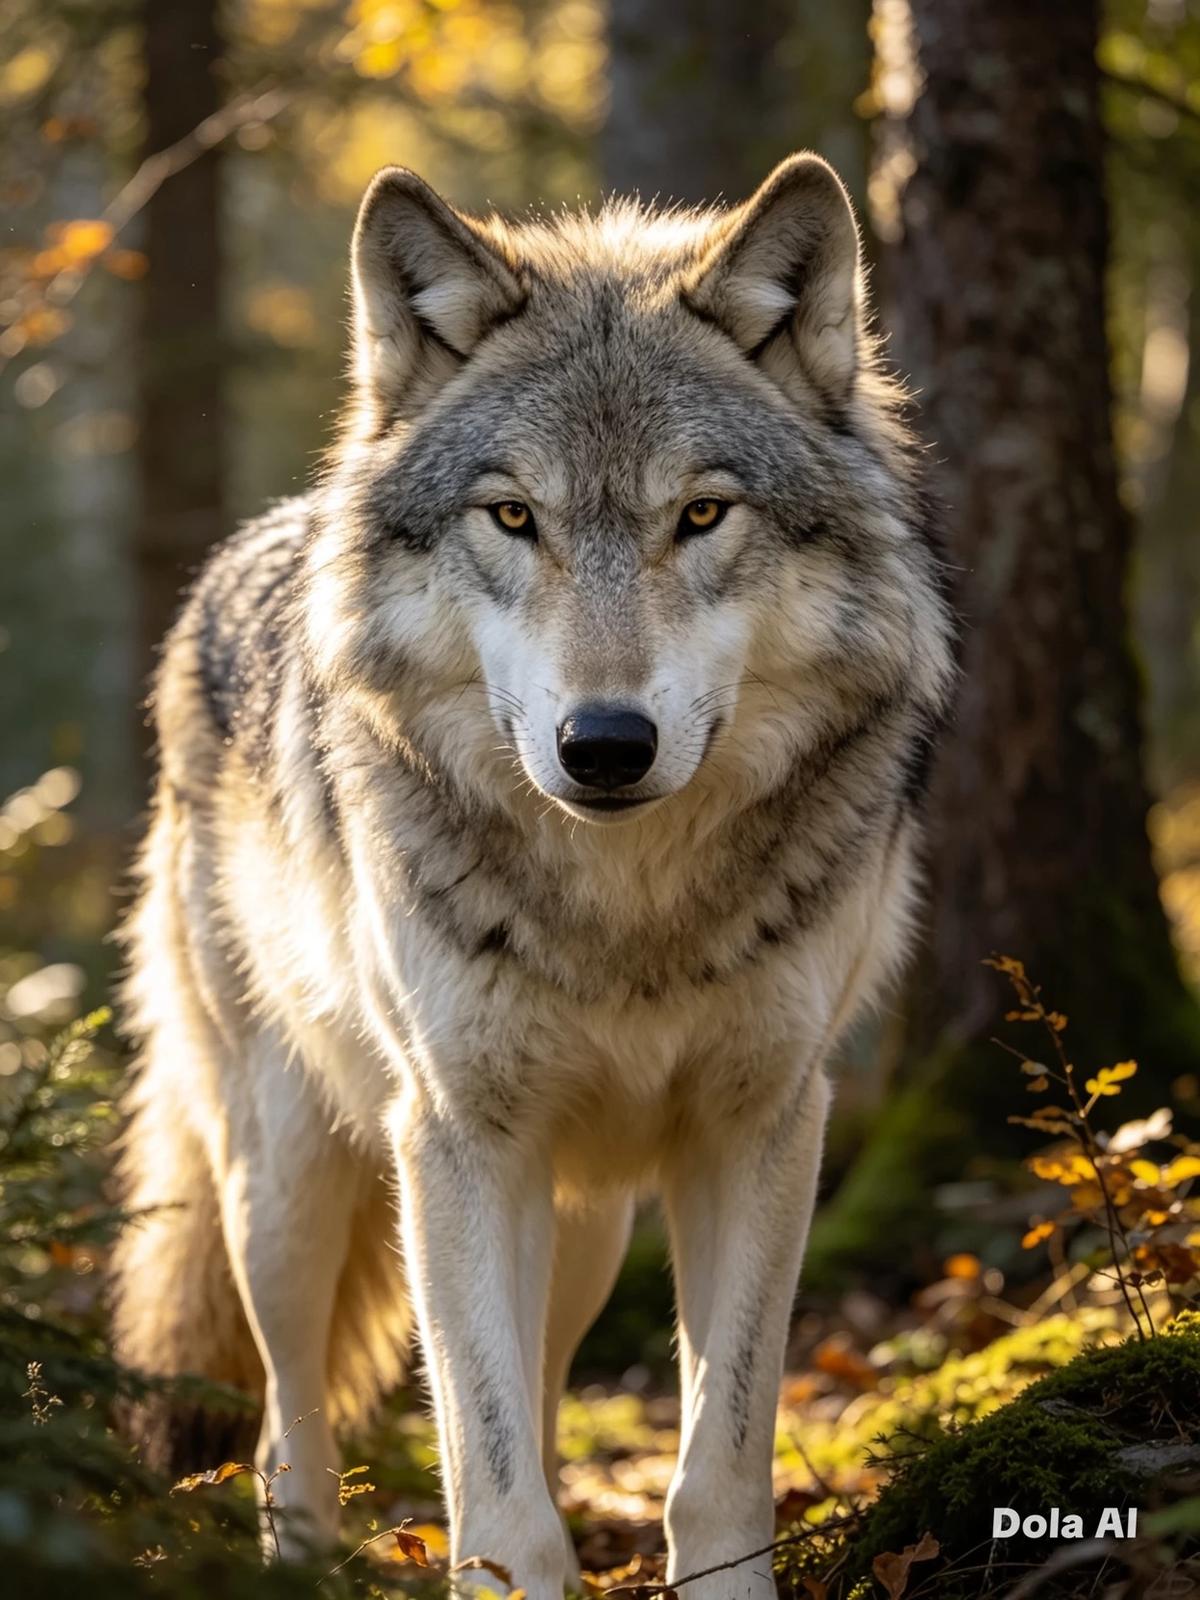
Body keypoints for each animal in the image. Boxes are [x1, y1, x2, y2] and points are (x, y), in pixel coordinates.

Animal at [111, 152, 953, 1599]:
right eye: (514, 515)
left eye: (701, 514)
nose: (604, 744)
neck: (627, 911)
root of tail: (237, 553)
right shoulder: (455, 1137)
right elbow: (492, 1483)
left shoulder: (765, 1124)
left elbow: (718, 1453)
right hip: (287, 1177)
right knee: (288, 1420)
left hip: (590, 1218)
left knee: (547, 1385)